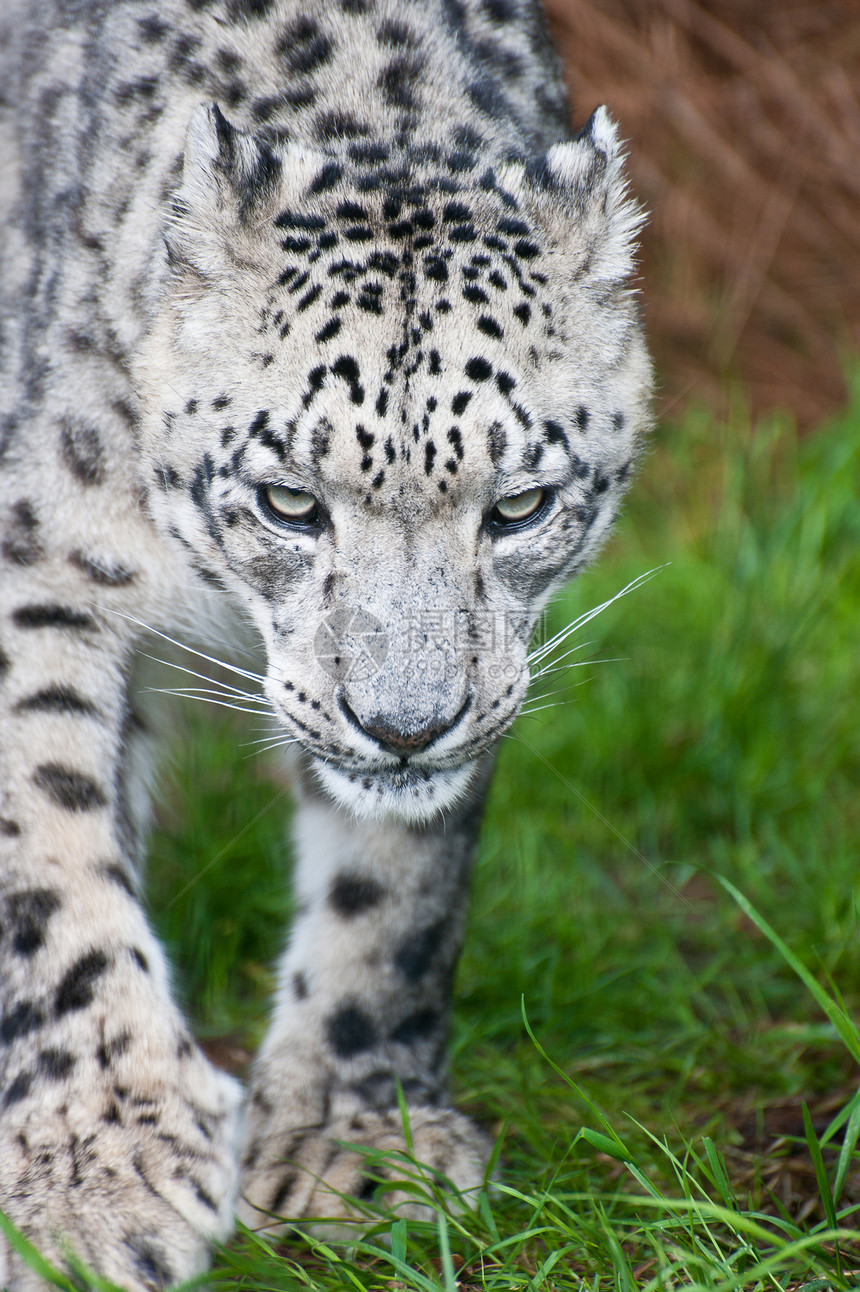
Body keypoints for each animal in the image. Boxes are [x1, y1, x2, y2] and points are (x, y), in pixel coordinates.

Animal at [0, 0, 645, 1286]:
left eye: (518, 505)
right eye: (290, 500)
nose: (404, 725)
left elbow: (393, 891)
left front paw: (356, 1142)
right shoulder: (40, 556)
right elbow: (47, 836)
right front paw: (95, 1166)